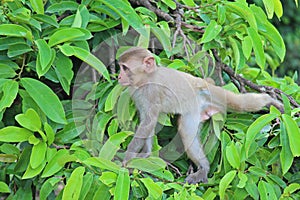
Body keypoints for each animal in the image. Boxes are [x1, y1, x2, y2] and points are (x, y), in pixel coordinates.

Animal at [116, 47, 282, 184]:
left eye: (125, 68)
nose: (118, 76)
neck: (146, 79)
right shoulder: (137, 94)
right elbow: (147, 122)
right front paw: (146, 154)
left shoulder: (151, 92)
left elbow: (149, 122)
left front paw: (127, 161)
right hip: (196, 110)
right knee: (188, 132)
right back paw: (204, 167)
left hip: (215, 93)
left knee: (241, 103)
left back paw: (270, 101)